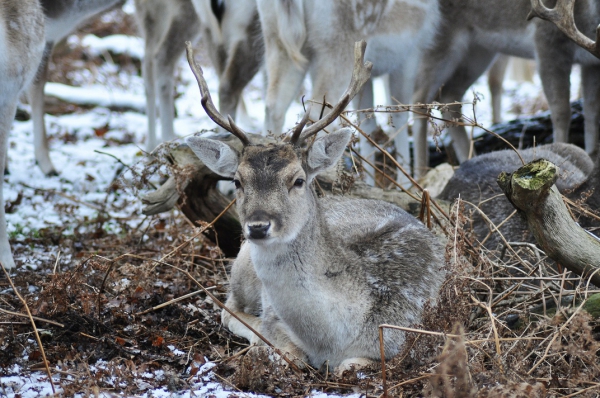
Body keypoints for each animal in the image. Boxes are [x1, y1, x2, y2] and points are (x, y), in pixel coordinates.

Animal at [184, 42, 446, 372]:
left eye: (298, 180)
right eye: (237, 181)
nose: (258, 226)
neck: (331, 339)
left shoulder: (402, 335)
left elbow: (348, 366)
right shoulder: (275, 320)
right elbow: (289, 353)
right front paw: (267, 346)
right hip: (241, 268)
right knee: (227, 307)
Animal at [256, 0, 440, 185]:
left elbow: (367, 122)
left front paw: (370, 181)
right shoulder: (411, 53)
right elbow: (400, 112)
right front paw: (406, 183)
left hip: (276, 37)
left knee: (274, 106)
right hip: (337, 43)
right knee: (318, 111)